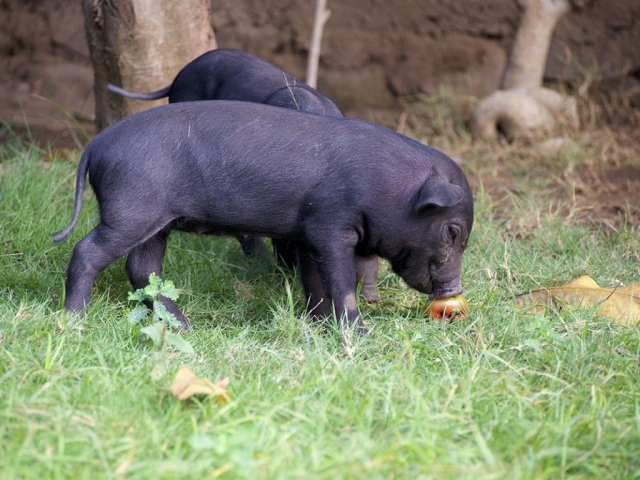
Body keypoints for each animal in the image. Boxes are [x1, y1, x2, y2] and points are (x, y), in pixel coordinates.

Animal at [53, 101, 476, 334]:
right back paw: (75, 320)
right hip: (131, 209)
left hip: (156, 222)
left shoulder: (307, 233)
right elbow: (342, 282)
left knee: (143, 268)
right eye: (453, 231)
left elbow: (315, 282)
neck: (388, 187)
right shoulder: (330, 224)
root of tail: (96, 145)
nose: (454, 288)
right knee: (87, 252)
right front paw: (360, 334)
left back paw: (186, 326)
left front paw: (319, 325)